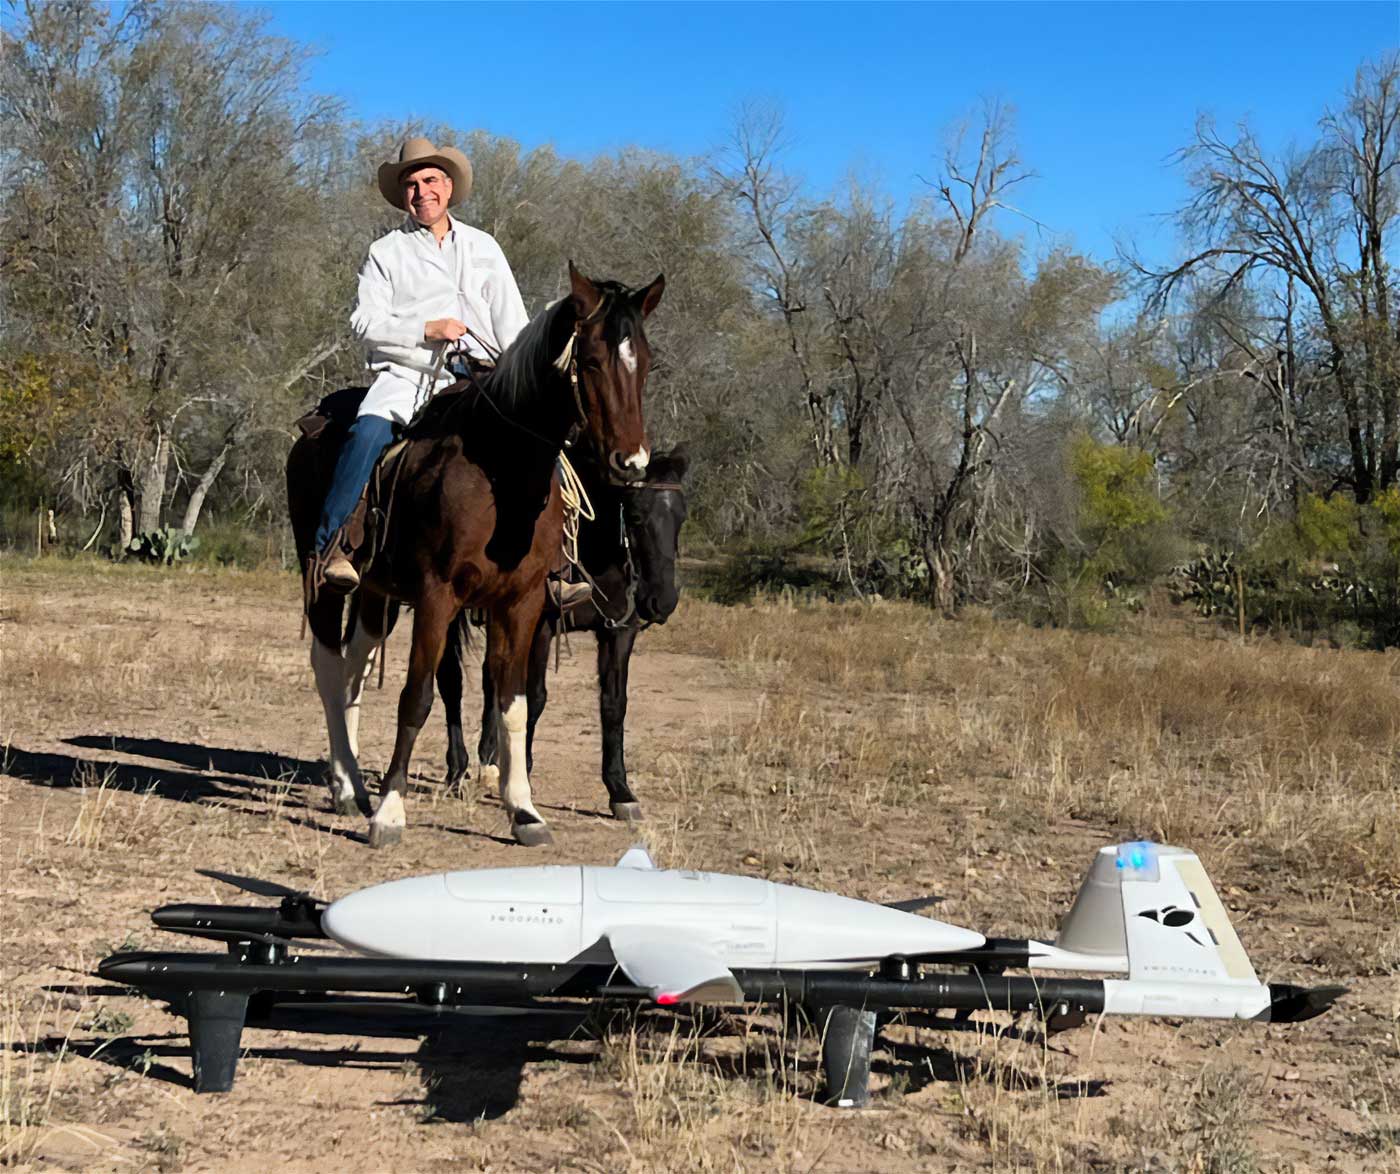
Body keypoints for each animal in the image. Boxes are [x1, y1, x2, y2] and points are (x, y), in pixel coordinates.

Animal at [431, 444, 683, 822]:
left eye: (681, 517)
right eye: (637, 516)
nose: (662, 601)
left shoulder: (619, 633)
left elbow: (614, 704)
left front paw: (620, 791)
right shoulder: (541, 628)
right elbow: (534, 698)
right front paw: (523, 775)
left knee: (492, 681)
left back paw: (489, 763)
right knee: (451, 683)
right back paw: (456, 770)